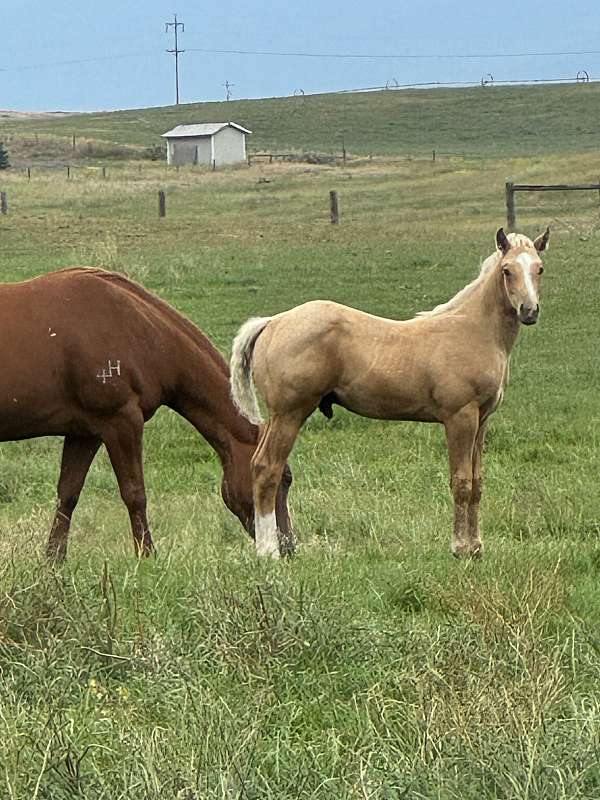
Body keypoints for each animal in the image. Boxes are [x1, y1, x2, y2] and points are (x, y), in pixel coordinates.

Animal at [0, 267, 292, 560]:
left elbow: (67, 494)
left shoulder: (84, 433)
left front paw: (54, 560)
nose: (287, 545)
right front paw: (147, 556)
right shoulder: (122, 422)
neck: (140, 331)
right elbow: (135, 494)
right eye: (283, 479)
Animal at [230, 227, 550, 559]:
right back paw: (268, 551)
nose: (529, 311)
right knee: (267, 468)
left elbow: (477, 483)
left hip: (277, 418)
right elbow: (461, 483)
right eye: (507, 270)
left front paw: (476, 547)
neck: (474, 330)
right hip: (289, 414)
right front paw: (460, 548)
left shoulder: (481, 420)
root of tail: (273, 322)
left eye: (539, 268)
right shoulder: (460, 418)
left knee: (258, 464)